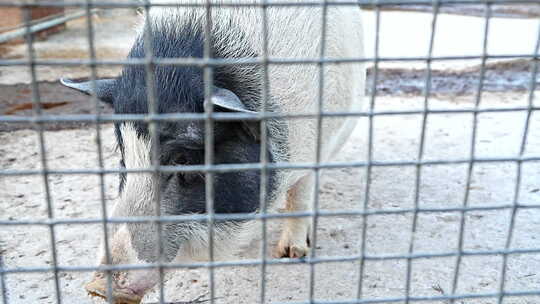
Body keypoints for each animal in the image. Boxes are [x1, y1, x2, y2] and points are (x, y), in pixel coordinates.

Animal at [62, 1, 368, 302]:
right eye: (123, 156)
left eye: (183, 160)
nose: (97, 287)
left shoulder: (319, 144)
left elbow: (300, 197)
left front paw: (291, 254)